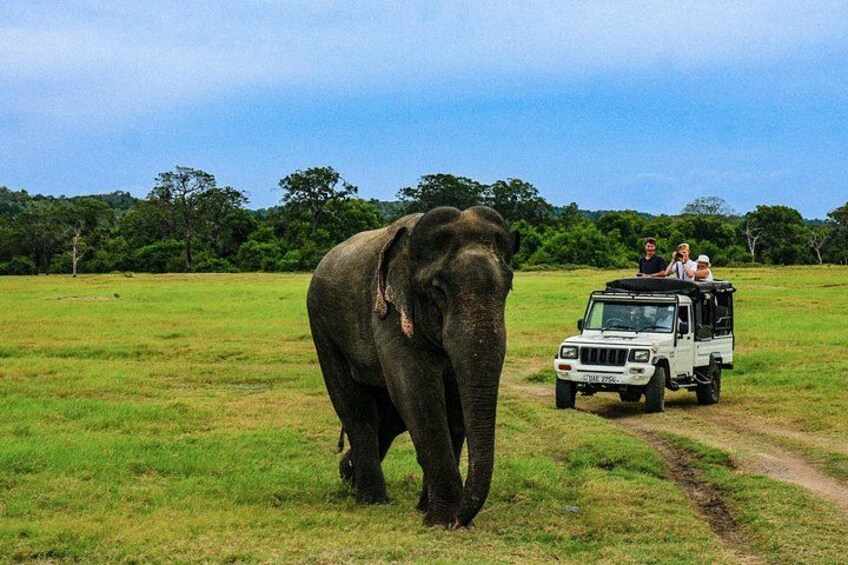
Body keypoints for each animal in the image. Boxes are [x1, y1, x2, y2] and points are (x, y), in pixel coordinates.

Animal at [307, 206, 518, 528]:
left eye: (508, 287)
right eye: (438, 290)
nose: (462, 519)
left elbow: (452, 401)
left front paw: (432, 512)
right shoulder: (389, 312)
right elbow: (416, 391)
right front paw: (443, 521)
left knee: (387, 416)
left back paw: (349, 474)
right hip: (322, 326)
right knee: (354, 406)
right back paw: (371, 499)